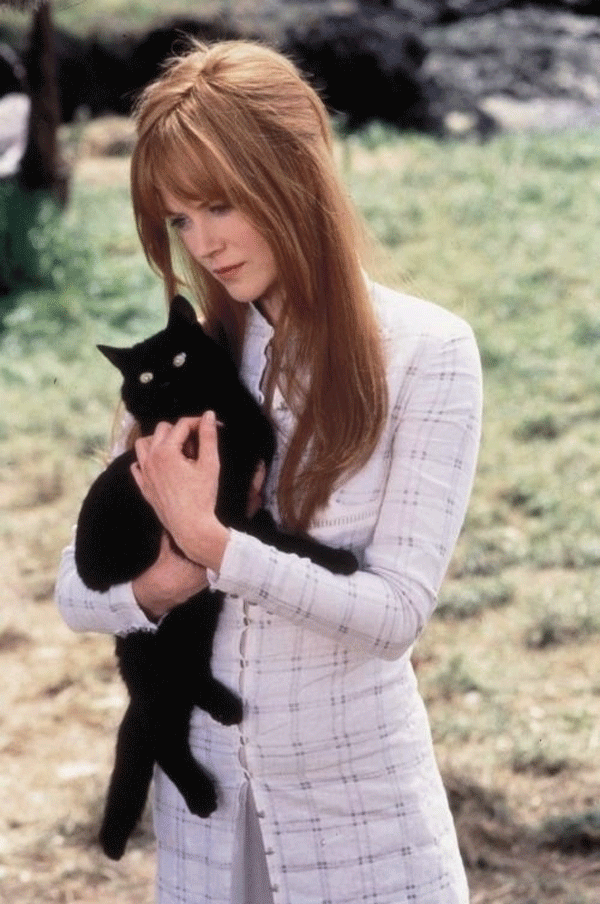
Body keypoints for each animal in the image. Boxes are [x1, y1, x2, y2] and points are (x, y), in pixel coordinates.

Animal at [74, 294, 357, 860]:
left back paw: (225, 706)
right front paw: (339, 561)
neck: (218, 425)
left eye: (179, 359)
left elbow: (278, 536)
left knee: (187, 683)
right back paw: (202, 794)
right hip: (156, 651)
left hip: (197, 619)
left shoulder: (247, 507)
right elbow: (284, 542)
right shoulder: (219, 520)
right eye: (143, 375)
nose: (163, 381)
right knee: (162, 728)